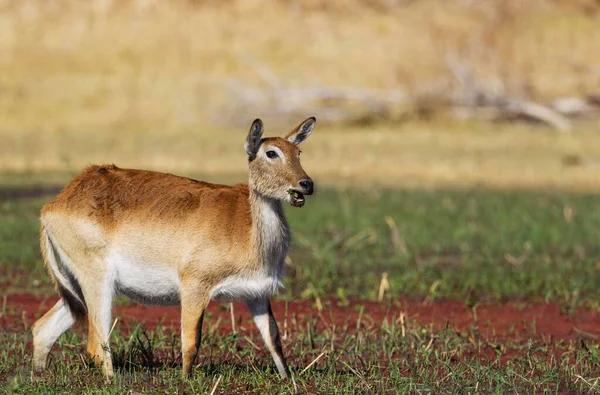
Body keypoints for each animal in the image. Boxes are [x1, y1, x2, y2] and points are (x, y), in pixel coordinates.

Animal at [31, 117, 318, 380]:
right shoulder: (194, 286)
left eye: (298, 152)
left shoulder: (256, 293)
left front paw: (288, 380)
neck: (248, 232)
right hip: (98, 281)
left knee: (42, 329)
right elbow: (191, 342)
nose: (306, 184)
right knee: (95, 344)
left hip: (76, 289)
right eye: (271, 152)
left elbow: (273, 339)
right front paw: (185, 382)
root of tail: (54, 205)